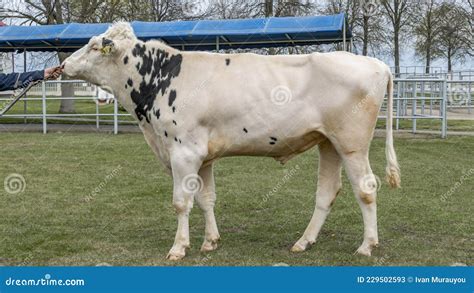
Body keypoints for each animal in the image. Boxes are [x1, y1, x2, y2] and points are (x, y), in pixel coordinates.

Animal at [63, 23, 400, 260]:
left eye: (93, 46)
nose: (64, 64)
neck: (160, 79)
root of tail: (377, 64)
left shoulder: (183, 152)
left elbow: (181, 202)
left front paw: (179, 247)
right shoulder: (203, 156)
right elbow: (206, 199)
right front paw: (210, 241)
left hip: (352, 143)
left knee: (366, 188)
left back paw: (367, 246)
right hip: (328, 142)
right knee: (327, 192)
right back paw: (303, 242)